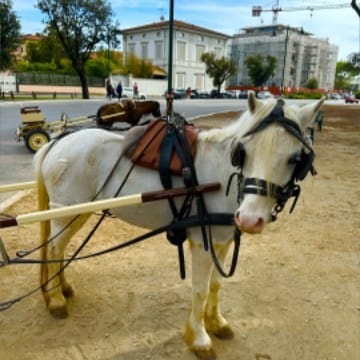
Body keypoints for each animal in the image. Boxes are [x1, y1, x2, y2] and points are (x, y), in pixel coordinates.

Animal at [33, 92, 324, 358]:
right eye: (243, 152)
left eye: (295, 159)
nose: (250, 219)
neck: (221, 174)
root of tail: (58, 142)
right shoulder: (203, 242)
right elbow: (200, 289)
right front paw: (199, 338)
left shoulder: (224, 240)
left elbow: (216, 285)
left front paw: (216, 322)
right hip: (64, 213)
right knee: (54, 250)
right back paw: (56, 299)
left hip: (77, 214)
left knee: (58, 251)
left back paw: (63, 289)